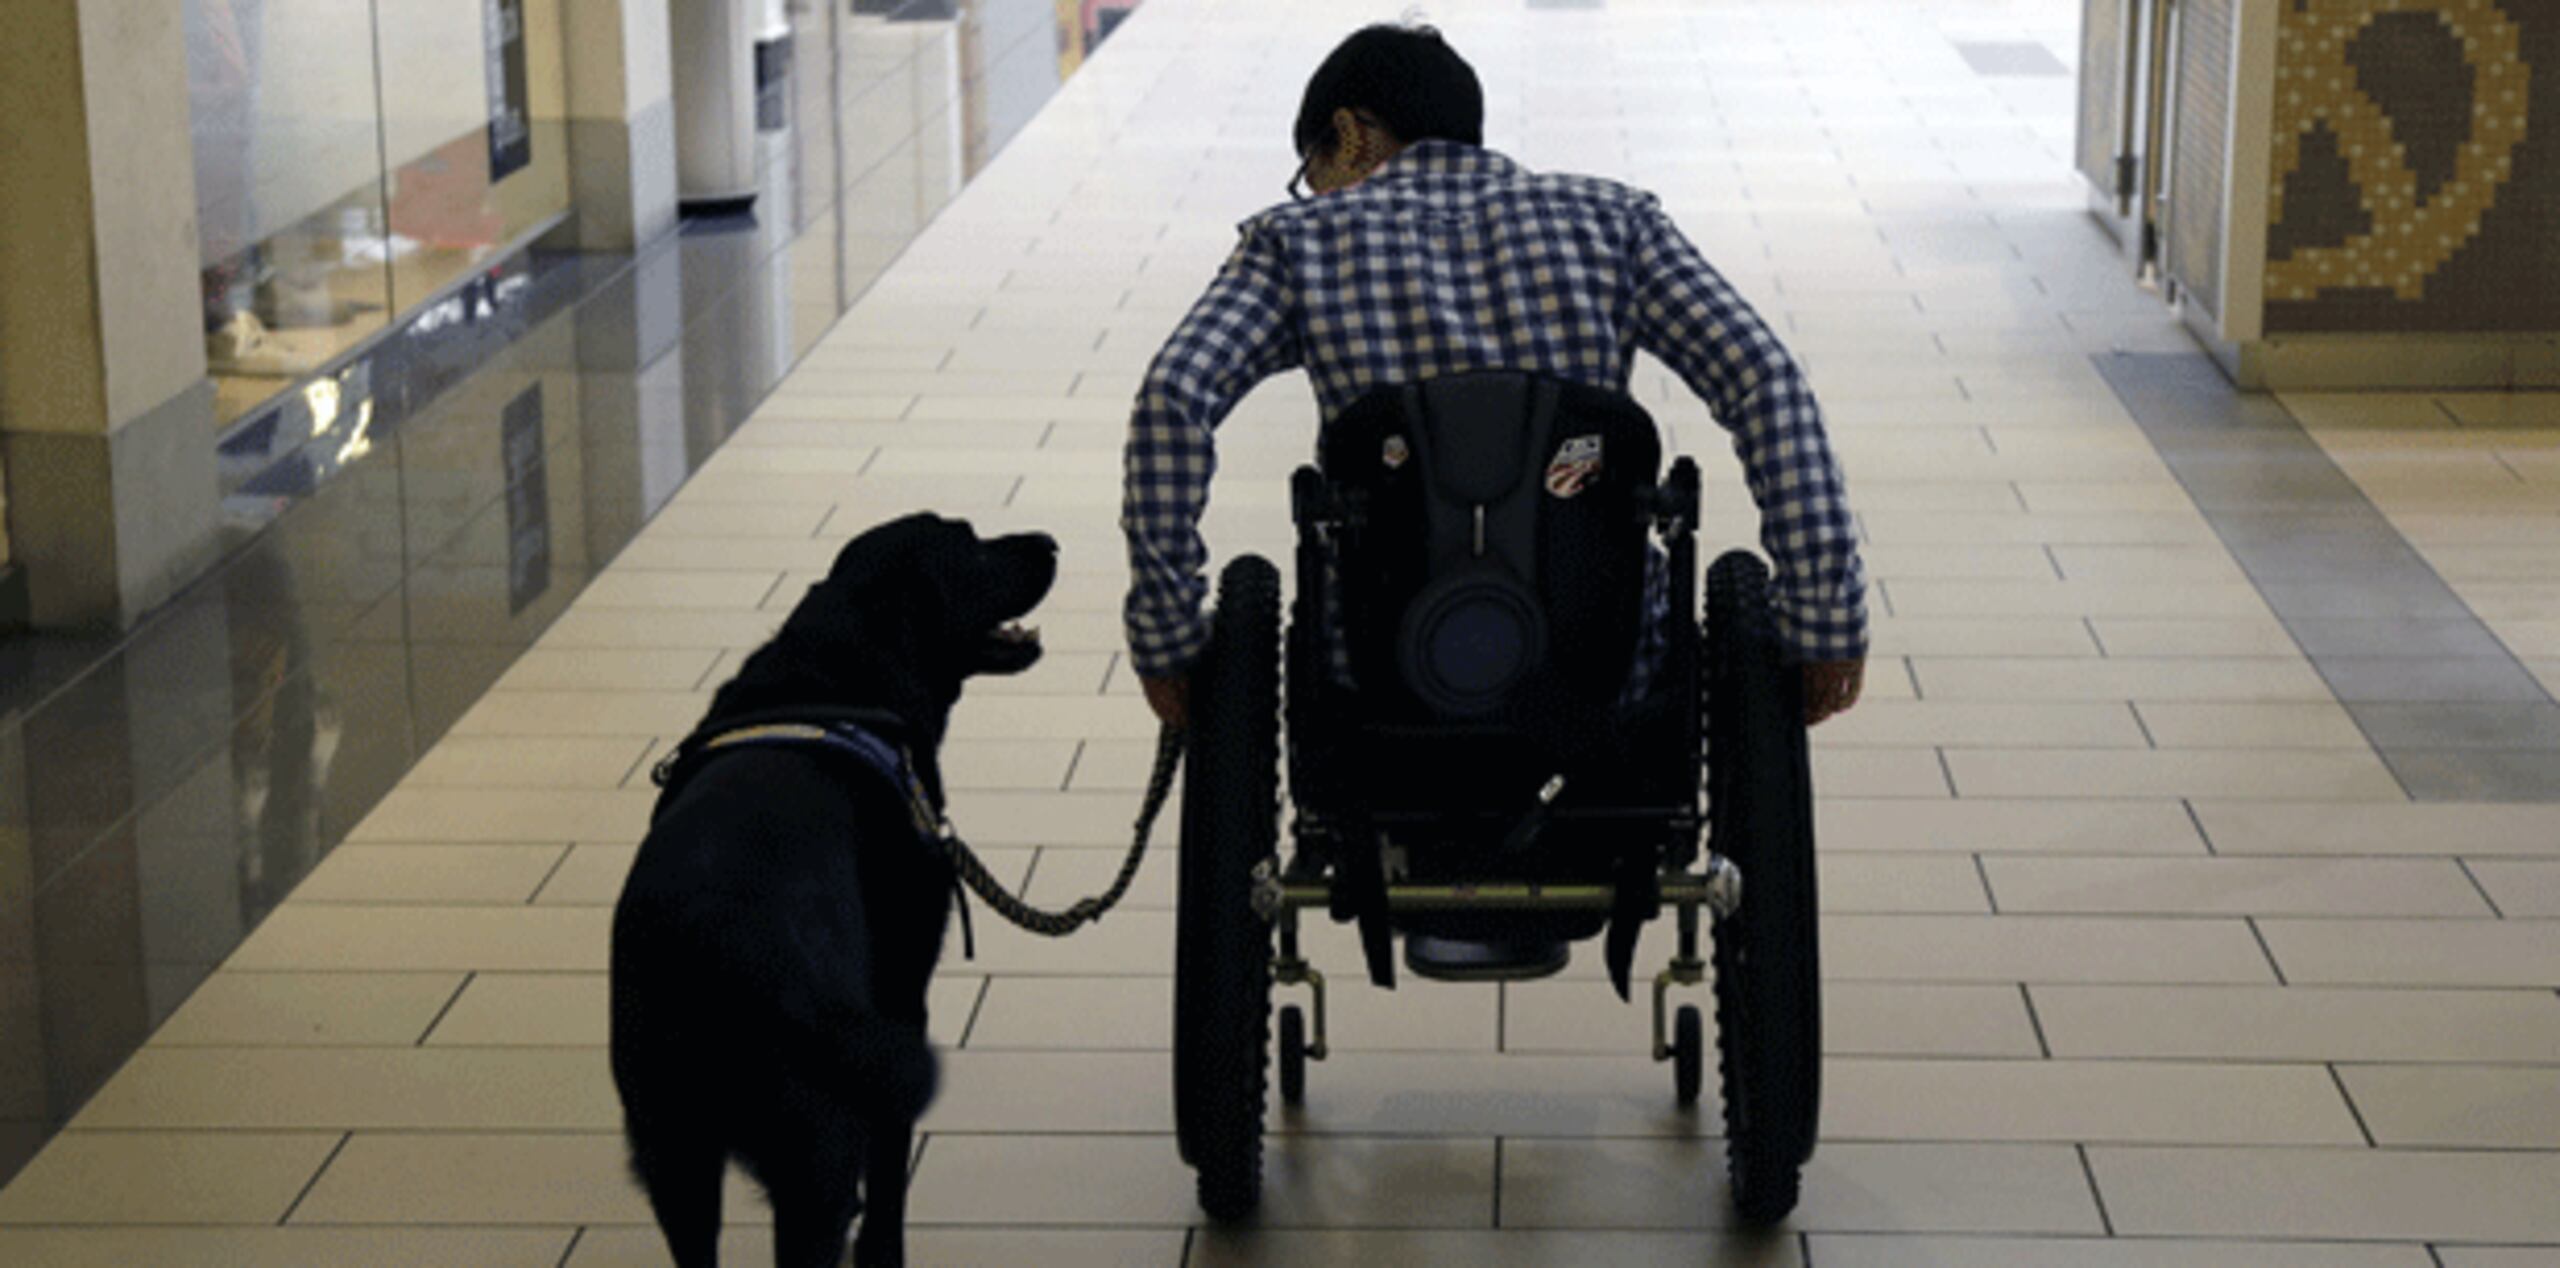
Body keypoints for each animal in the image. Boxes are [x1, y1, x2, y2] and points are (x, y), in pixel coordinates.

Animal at [614, 517, 1054, 1268]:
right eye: (969, 539)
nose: (1051, 542)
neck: (835, 668)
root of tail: (715, 947)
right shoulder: (901, 1001)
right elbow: (889, 1183)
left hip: (672, 1148)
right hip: (817, 1149)